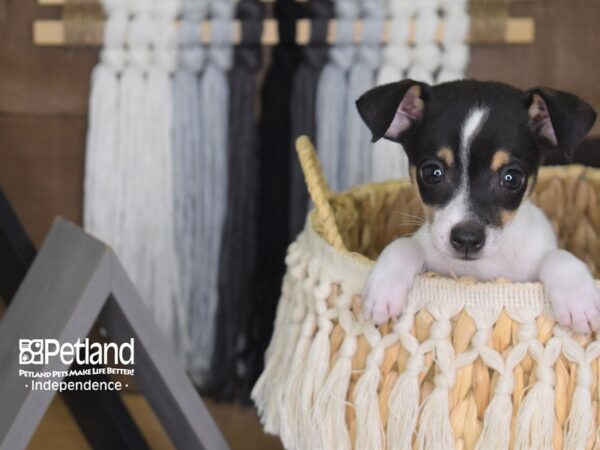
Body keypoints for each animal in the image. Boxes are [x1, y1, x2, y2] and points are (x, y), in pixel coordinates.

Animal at [354, 80, 596, 334]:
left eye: (512, 178)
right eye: (432, 173)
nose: (467, 239)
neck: (479, 271)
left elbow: (557, 256)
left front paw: (578, 299)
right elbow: (405, 244)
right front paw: (383, 288)